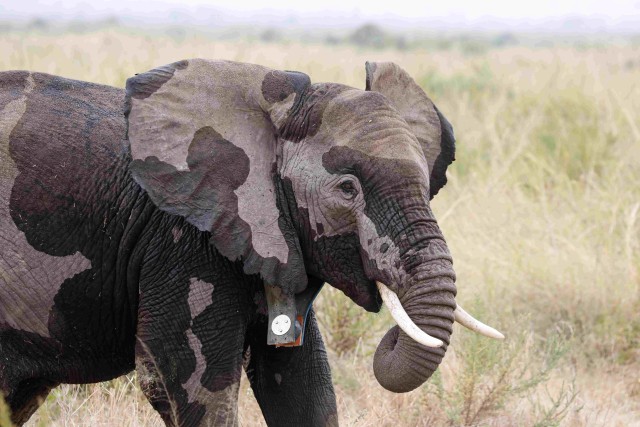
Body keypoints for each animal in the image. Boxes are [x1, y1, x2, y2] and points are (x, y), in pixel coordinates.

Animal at [0, 58, 500, 426]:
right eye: (347, 189)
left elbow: (302, 386)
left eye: (427, 184)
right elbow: (189, 384)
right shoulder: (181, 242)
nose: (390, 339)